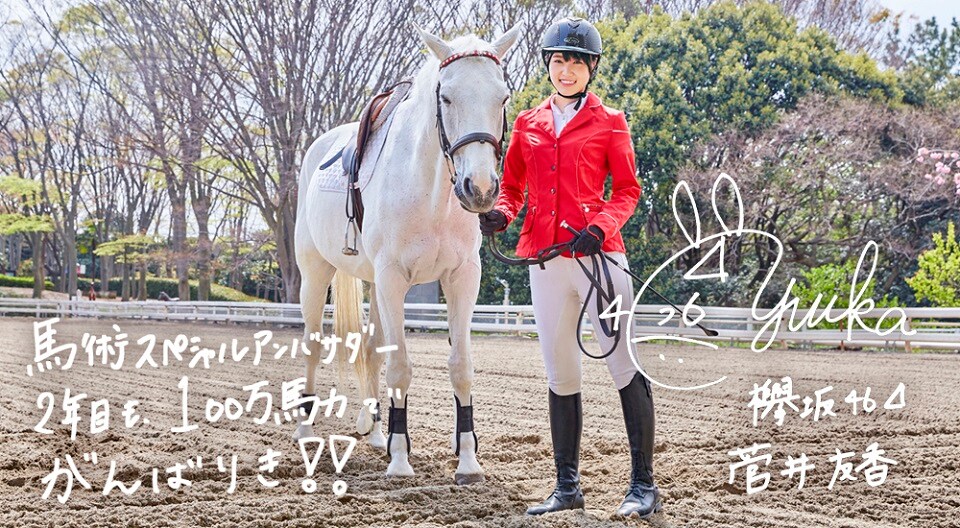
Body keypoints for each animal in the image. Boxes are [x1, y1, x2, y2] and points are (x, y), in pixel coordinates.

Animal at [293, 25, 520, 485]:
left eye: (502, 97)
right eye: (446, 97)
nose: (480, 189)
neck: (431, 193)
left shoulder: (462, 279)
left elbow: (460, 366)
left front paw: (467, 461)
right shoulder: (394, 279)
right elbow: (400, 367)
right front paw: (400, 460)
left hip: (373, 285)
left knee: (371, 348)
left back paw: (377, 432)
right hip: (316, 274)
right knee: (312, 343)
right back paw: (307, 430)